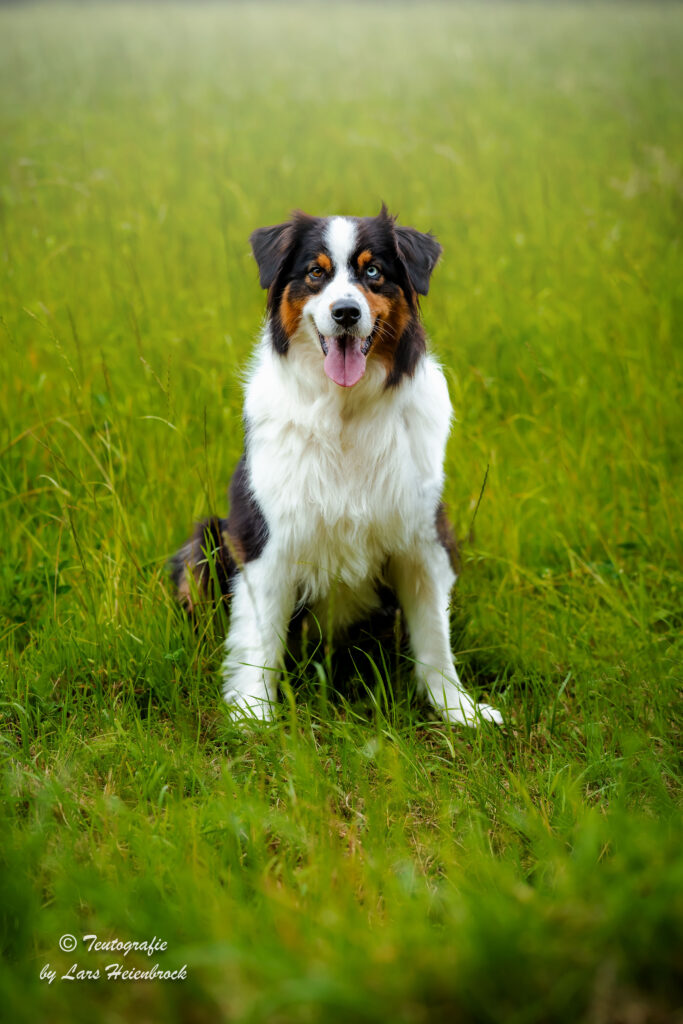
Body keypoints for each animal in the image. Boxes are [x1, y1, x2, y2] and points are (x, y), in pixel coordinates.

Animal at [171, 201, 501, 729]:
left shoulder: (423, 535)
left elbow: (435, 639)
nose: (345, 312)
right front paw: (252, 715)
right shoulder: (265, 536)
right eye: (315, 273)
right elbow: (260, 641)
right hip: (204, 540)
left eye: (373, 272)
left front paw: (458, 710)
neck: (344, 412)